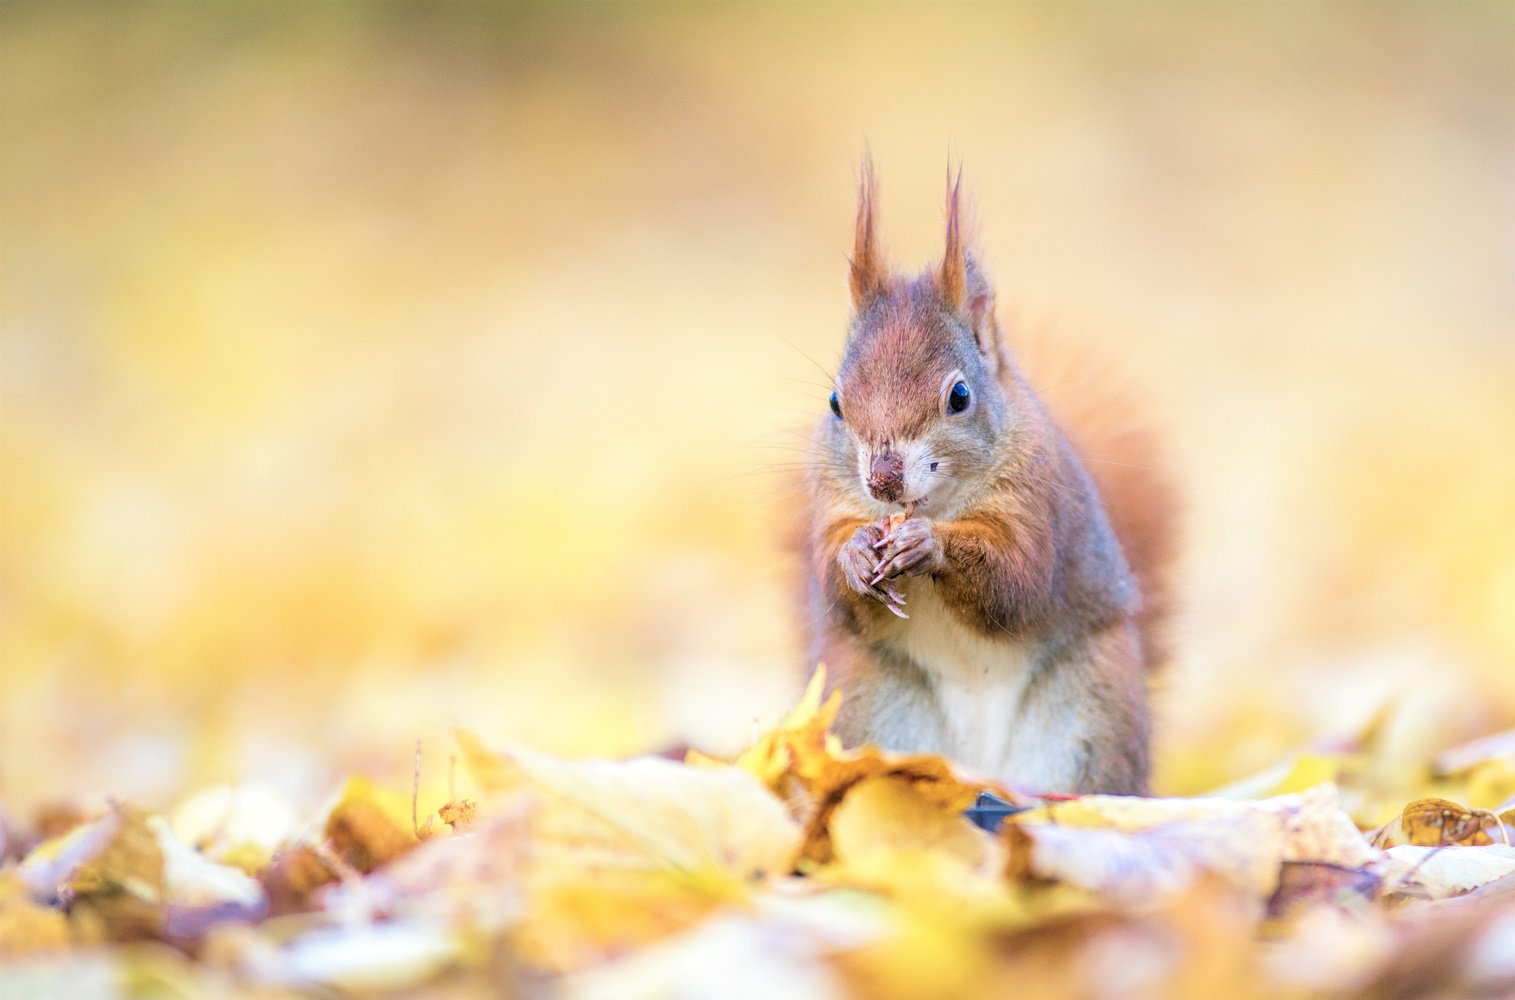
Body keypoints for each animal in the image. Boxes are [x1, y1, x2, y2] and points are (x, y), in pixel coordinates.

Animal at [799, 159, 1175, 793]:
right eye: (834, 402)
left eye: (960, 396)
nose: (883, 481)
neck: (936, 503)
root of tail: (976, 769)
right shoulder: (832, 504)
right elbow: (835, 584)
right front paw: (854, 554)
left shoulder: (1037, 504)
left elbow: (1016, 579)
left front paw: (928, 546)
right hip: (868, 700)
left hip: (1095, 706)